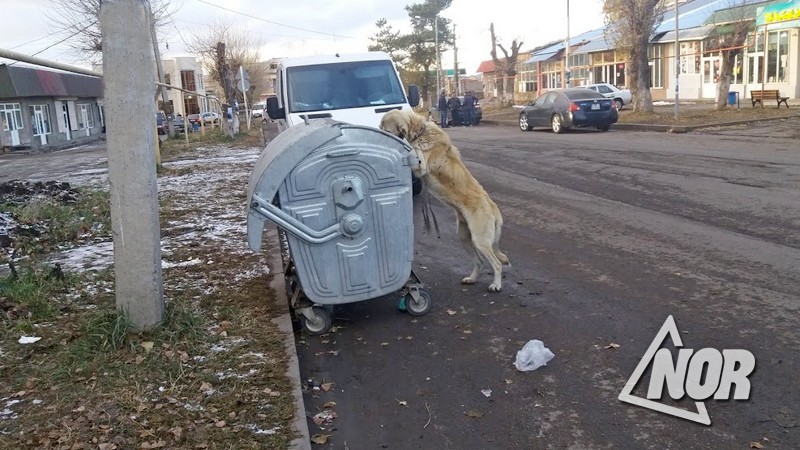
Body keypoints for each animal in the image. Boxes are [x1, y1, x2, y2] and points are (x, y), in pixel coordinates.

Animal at [378, 109, 510, 292]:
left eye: (386, 130)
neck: (420, 133)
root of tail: (493, 207)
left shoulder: (420, 166)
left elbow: (410, 149)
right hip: (464, 237)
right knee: (479, 261)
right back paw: (471, 279)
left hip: (480, 240)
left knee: (496, 263)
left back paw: (496, 285)